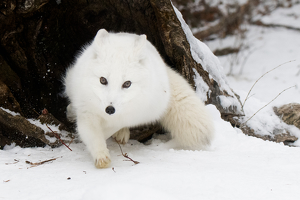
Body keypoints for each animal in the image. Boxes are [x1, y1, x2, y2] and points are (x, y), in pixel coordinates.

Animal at [63, 28, 213, 168]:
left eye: (127, 84)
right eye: (103, 80)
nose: (110, 109)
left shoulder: (131, 114)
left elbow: (109, 128)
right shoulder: (87, 112)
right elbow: (94, 136)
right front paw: (101, 156)